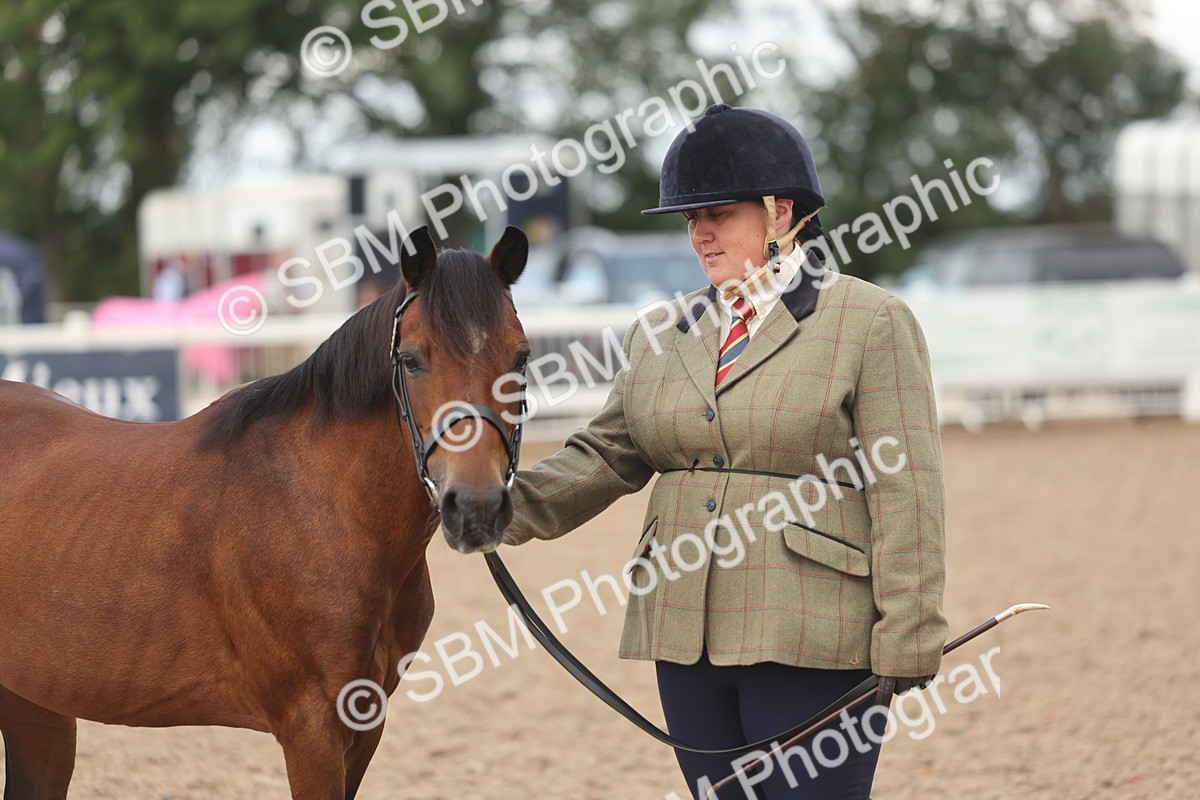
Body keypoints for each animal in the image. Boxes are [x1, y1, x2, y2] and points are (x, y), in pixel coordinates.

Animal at [0, 225, 530, 799]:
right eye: (411, 359)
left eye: (521, 359)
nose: (476, 506)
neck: (323, 505)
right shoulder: (311, 726)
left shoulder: (367, 721)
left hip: (37, 703)